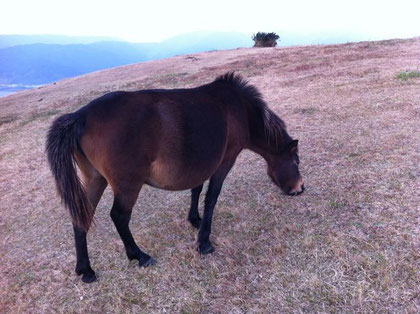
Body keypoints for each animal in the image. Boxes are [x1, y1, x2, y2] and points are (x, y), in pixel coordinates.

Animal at [46, 72, 306, 284]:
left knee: (82, 216)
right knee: (119, 217)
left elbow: (196, 189)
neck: (239, 108)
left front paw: (194, 220)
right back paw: (139, 256)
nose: (300, 188)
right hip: (128, 185)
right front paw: (204, 242)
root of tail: (81, 115)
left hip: (95, 178)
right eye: (296, 161)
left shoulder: (203, 164)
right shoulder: (225, 161)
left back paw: (86, 270)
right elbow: (211, 198)